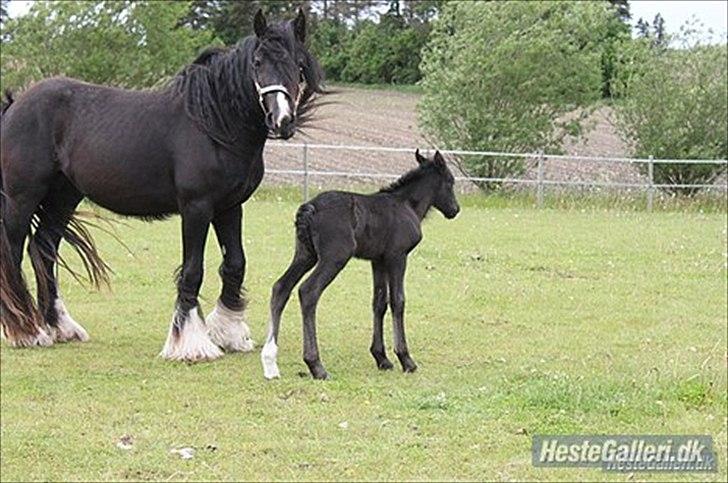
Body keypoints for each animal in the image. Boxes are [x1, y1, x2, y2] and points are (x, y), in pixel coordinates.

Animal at [258, 151, 458, 382]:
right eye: (450, 182)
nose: (455, 210)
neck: (407, 205)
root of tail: (310, 208)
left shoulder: (378, 260)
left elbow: (379, 302)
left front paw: (382, 358)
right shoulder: (397, 256)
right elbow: (398, 301)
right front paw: (406, 359)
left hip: (305, 254)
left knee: (281, 287)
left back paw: (270, 362)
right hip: (334, 257)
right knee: (308, 291)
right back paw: (316, 365)